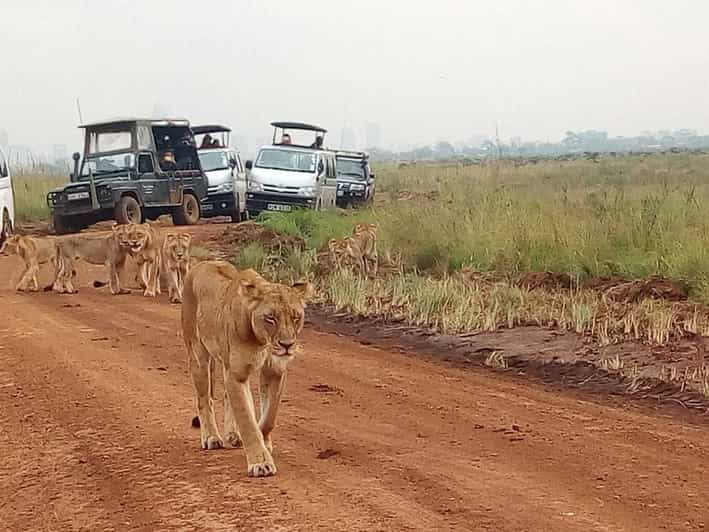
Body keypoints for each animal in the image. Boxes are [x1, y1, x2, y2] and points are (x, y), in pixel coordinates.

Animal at [181, 262, 312, 478]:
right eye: (270, 318)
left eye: (296, 317)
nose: (287, 345)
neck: (262, 342)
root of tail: (201, 263)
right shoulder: (237, 374)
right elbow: (247, 419)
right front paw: (260, 462)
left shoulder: (275, 371)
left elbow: (268, 417)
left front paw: (264, 442)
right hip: (198, 355)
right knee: (204, 399)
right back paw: (211, 438)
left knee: (227, 396)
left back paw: (233, 435)